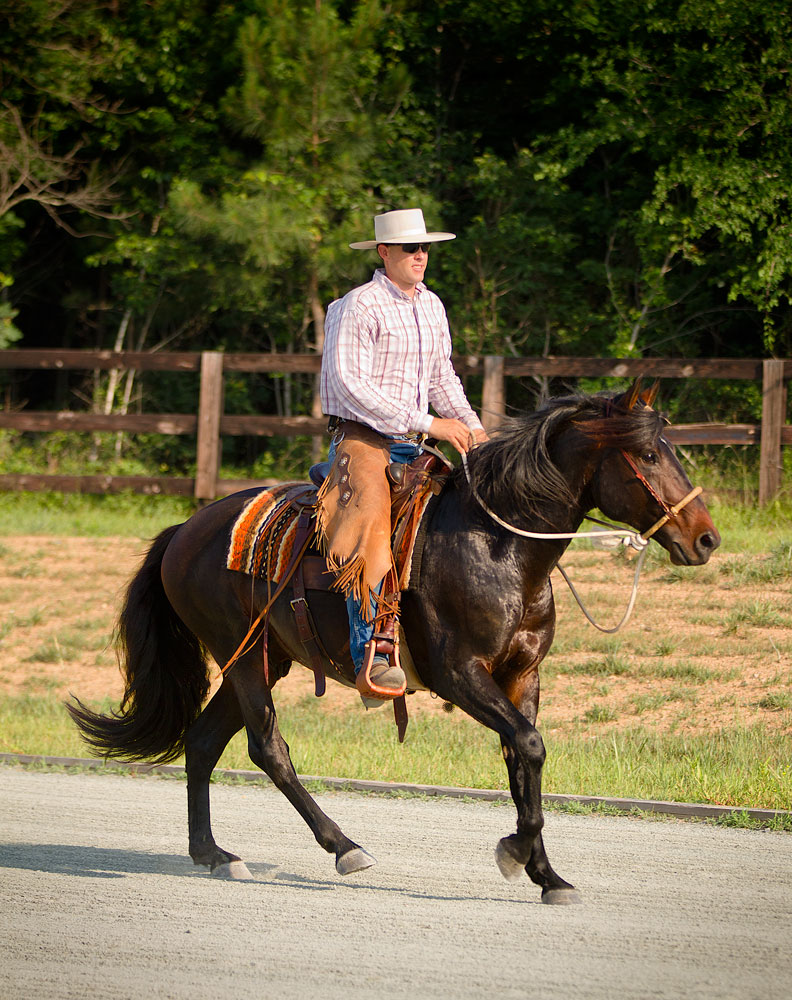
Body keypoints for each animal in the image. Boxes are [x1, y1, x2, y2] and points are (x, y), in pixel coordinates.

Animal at [69, 386, 716, 904]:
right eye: (650, 455)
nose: (706, 538)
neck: (497, 547)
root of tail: (185, 530)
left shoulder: (522, 675)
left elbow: (522, 758)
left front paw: (547, 877)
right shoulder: (459, 672)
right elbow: (529, 747)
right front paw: (515, 853)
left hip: (262, 660)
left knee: (203, 743)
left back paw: (214, 854)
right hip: (245, 657)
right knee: (267, 749)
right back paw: (343, 846)